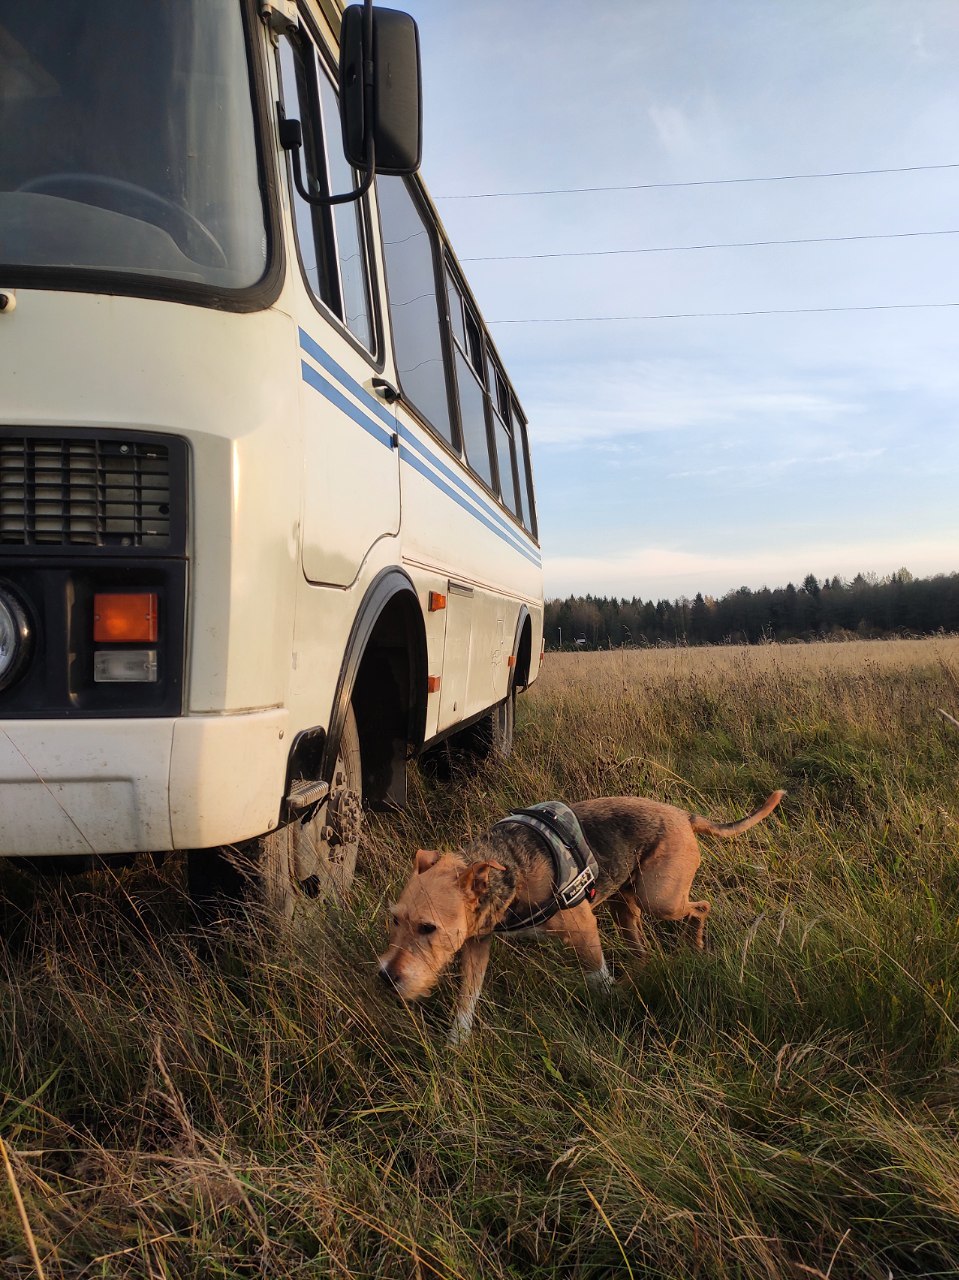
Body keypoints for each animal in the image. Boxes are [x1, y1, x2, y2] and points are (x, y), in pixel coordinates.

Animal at [378, 783, 783, 1044]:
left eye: (428, 927)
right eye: (394, 920)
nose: (385, 978)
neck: (508, 870)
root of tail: (684, 815)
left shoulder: (583, 927)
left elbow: (598, 979)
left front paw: (611, 1006)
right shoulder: (477, 942)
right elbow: (467, 997)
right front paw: (457, 1042)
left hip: (659, 898)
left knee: (701, 907)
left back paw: (695, 944)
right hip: (626, 903)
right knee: (641, 943)